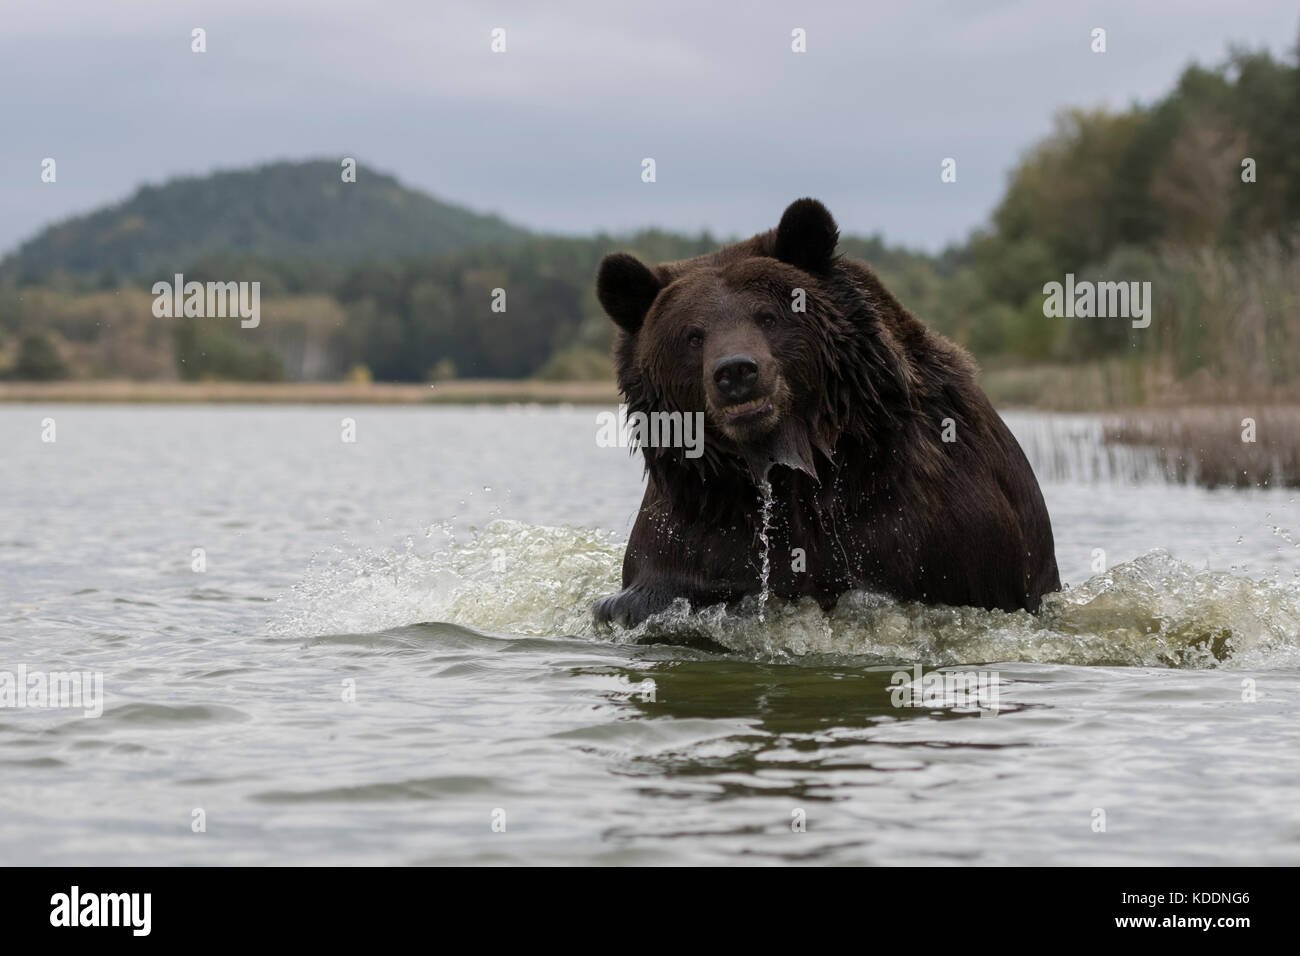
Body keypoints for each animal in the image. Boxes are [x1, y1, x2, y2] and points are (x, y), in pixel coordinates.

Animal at [595, 197, 1060, 632]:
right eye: (693, 335)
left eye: (768, 316)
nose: (736, 371)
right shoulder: (701, 520)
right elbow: (656, 589)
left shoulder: (932, 521)